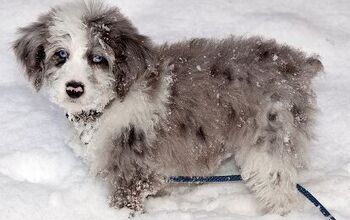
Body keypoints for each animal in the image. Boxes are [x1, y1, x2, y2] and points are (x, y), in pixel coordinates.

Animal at [13, 0, 322, 216]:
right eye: (60, 55)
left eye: (98, 58)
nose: (74, 88)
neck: (110, 102)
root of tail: (298, 64)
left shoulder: (132, 169)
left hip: (271, 140)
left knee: (279, 189)